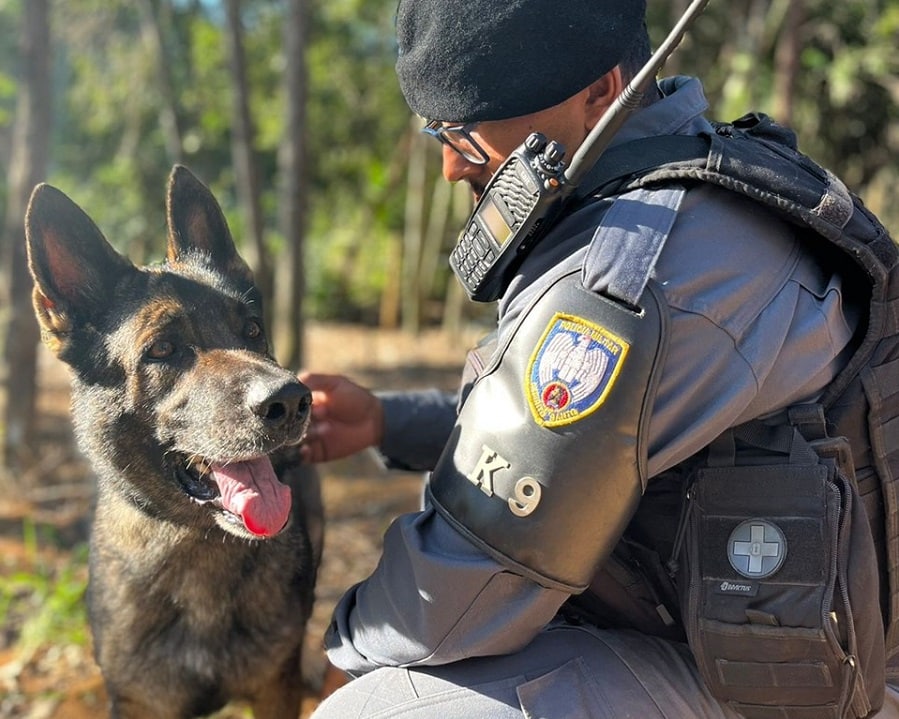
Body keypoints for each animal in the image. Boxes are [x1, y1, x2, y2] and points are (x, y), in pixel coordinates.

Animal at [23, 166, 326, 716]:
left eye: (253, 329)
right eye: (163, 349)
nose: (293, 400)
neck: (198, 542)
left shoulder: (275, 688)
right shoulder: (139, 702)